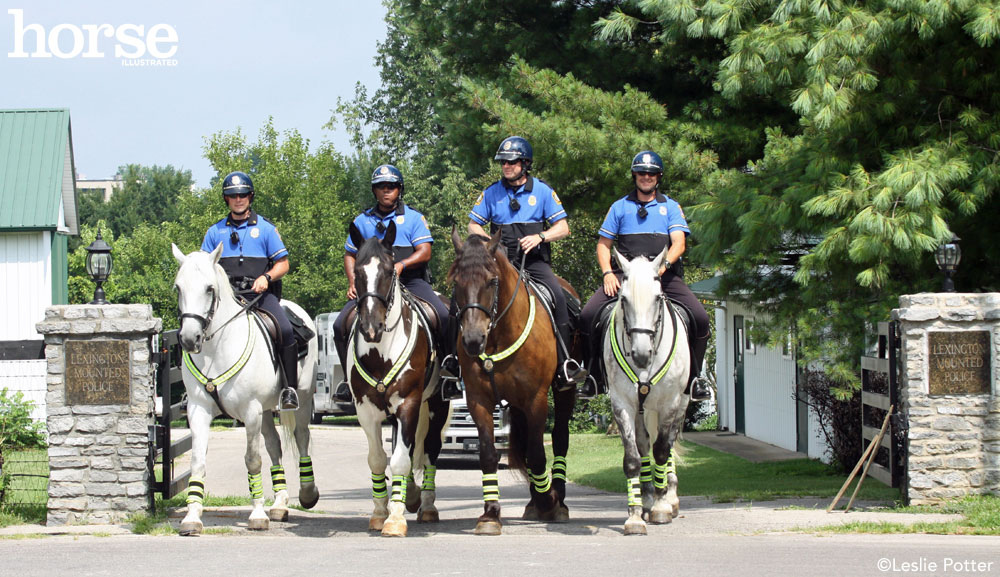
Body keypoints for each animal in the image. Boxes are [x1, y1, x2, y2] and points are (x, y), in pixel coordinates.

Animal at [172, 241, 318, 532]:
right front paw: (192, 517)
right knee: (274, 445)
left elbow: (252, 460)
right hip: (265, 411)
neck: (217, 349)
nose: (189, 339)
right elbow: (197, 462)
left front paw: (258, 514)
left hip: (301, 401)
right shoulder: (198, 411)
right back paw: (280, 504)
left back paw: (307, 494)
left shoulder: (250, 411)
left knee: (301, 437)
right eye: (179, 288)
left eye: (209, 288)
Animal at [348, 220, 450, 536]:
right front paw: (381, 512)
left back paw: (426, 505)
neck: (381, 352)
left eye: (388, 270)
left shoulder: (409, 403)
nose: (372, 328)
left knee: (429, 451)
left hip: (437, 404)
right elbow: (379, 460)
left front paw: (395, 519)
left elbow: (402, 461)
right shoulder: (366, 410)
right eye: (358, 272)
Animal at [448, 227, 576, 532]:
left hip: (563, 392)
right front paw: (491, 513)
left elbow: (538, 453)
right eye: (456, 282)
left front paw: (548, 502)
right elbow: (488, 453)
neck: (499, 335)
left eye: (492, 281)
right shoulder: (479, 401)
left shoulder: (536, 399)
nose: (473, 340)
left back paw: (557, 499)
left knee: (559, 438)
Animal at [600, 244, 688, 536]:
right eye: (624, 299)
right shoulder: (622, 404)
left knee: (667, 443)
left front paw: (661, 507)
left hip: (681, 404)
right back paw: (648, 497)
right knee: (644, 443)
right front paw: (635, 516)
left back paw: (669, 497)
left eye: (658, 298)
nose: (640, 354)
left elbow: (662, 450)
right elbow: (633, 458)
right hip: (641, 409)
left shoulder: (670, 402)